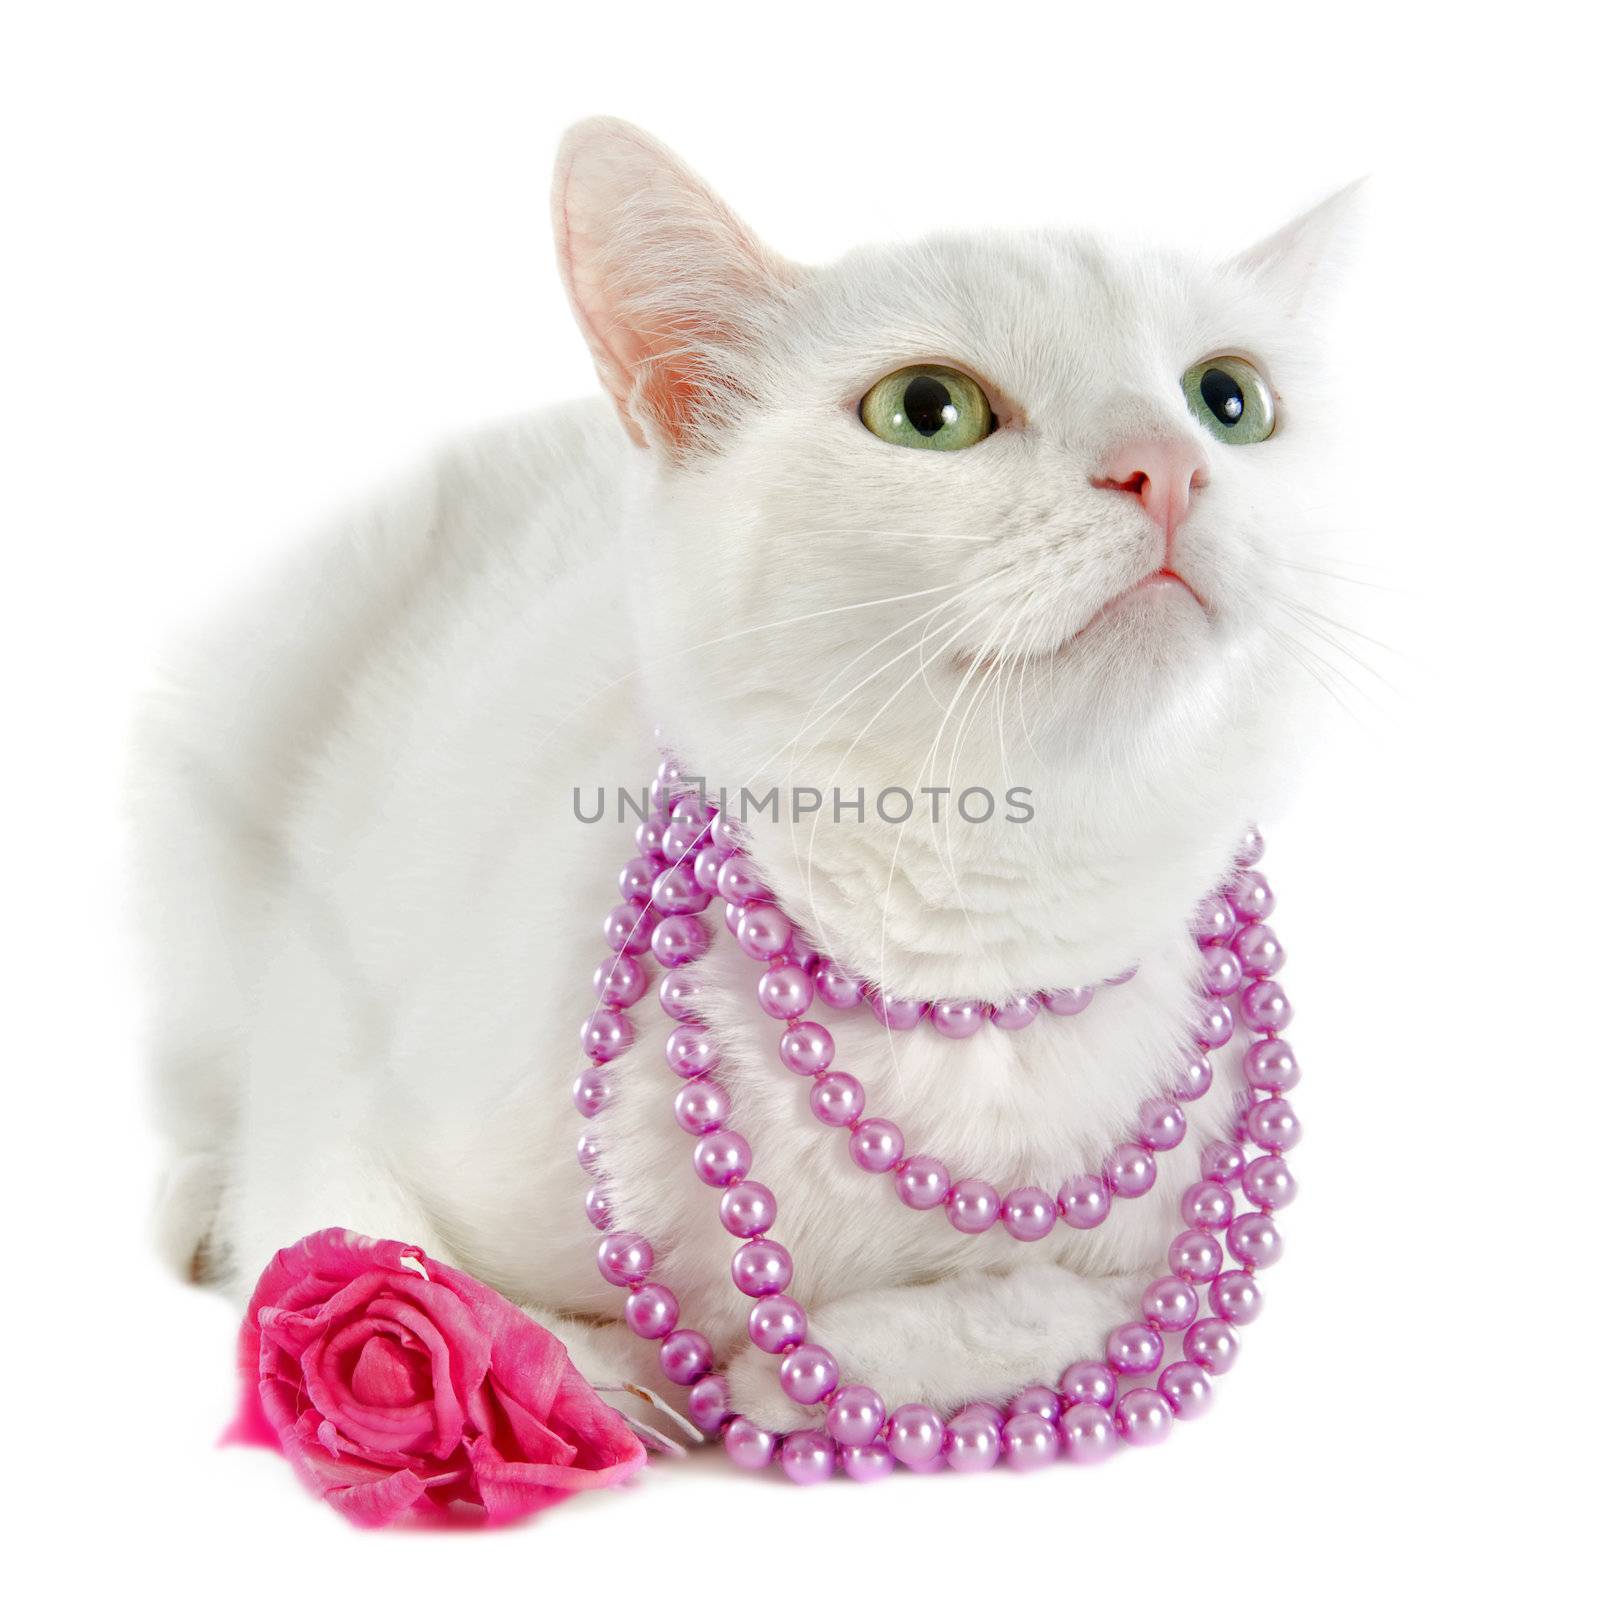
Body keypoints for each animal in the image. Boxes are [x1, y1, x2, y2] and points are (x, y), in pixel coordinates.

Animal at [134, 118, 1350, 1433]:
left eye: (1228, 399)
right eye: (930, 411)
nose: (1164, 465)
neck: (968, 979)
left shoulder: (1160, 1254)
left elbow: (1056, 1305)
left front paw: (807, 1367)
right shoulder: (333, 1056)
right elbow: (354, 1232)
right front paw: (611, 1368)